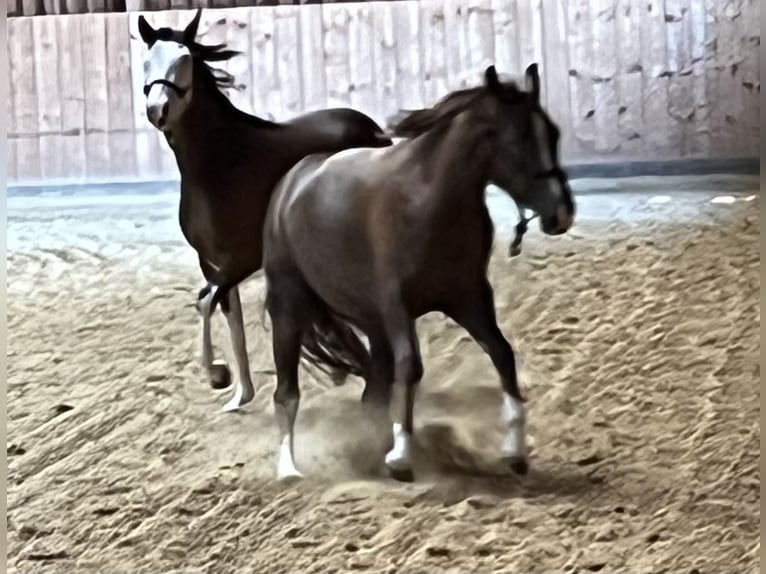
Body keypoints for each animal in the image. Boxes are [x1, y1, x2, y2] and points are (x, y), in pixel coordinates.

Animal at [138, 10, 390, 414]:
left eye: (184, 59)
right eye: (147, 61)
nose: (157, 110)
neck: (223, 164)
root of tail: (371, 128)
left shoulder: (243, 259)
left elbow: (204, 301)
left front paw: (217, 373)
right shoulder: (211, 262)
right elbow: (230, 316)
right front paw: (240, 394)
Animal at [264, 65, 576, 484]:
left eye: (553, 133)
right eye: (519, 138)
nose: (562, 214)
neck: (429, 201)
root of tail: (291, 183)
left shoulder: (470, 298)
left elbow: (502, 354)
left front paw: (515, 452)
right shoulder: (396, 305)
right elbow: (411, 367)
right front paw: (401, 457)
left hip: (371, 324)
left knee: (373, 390)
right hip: (289, 306)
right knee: (287, 391)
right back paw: (289, 468)